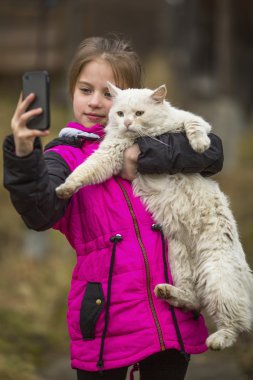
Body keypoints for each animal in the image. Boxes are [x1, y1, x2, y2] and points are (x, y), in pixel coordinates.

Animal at [56, 82, 252, 350]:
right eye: (120, 114)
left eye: (139, 114)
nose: (128, 123)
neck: (137, 138)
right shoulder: (109, 155)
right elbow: (84, 171)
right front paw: (64, 189)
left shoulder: (191, 120)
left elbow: (195, 127)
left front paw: (199, 145)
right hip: (179, 260)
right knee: (195, 300)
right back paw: (166, 292)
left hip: (217, 273)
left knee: (236, 321)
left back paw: (217, 339)